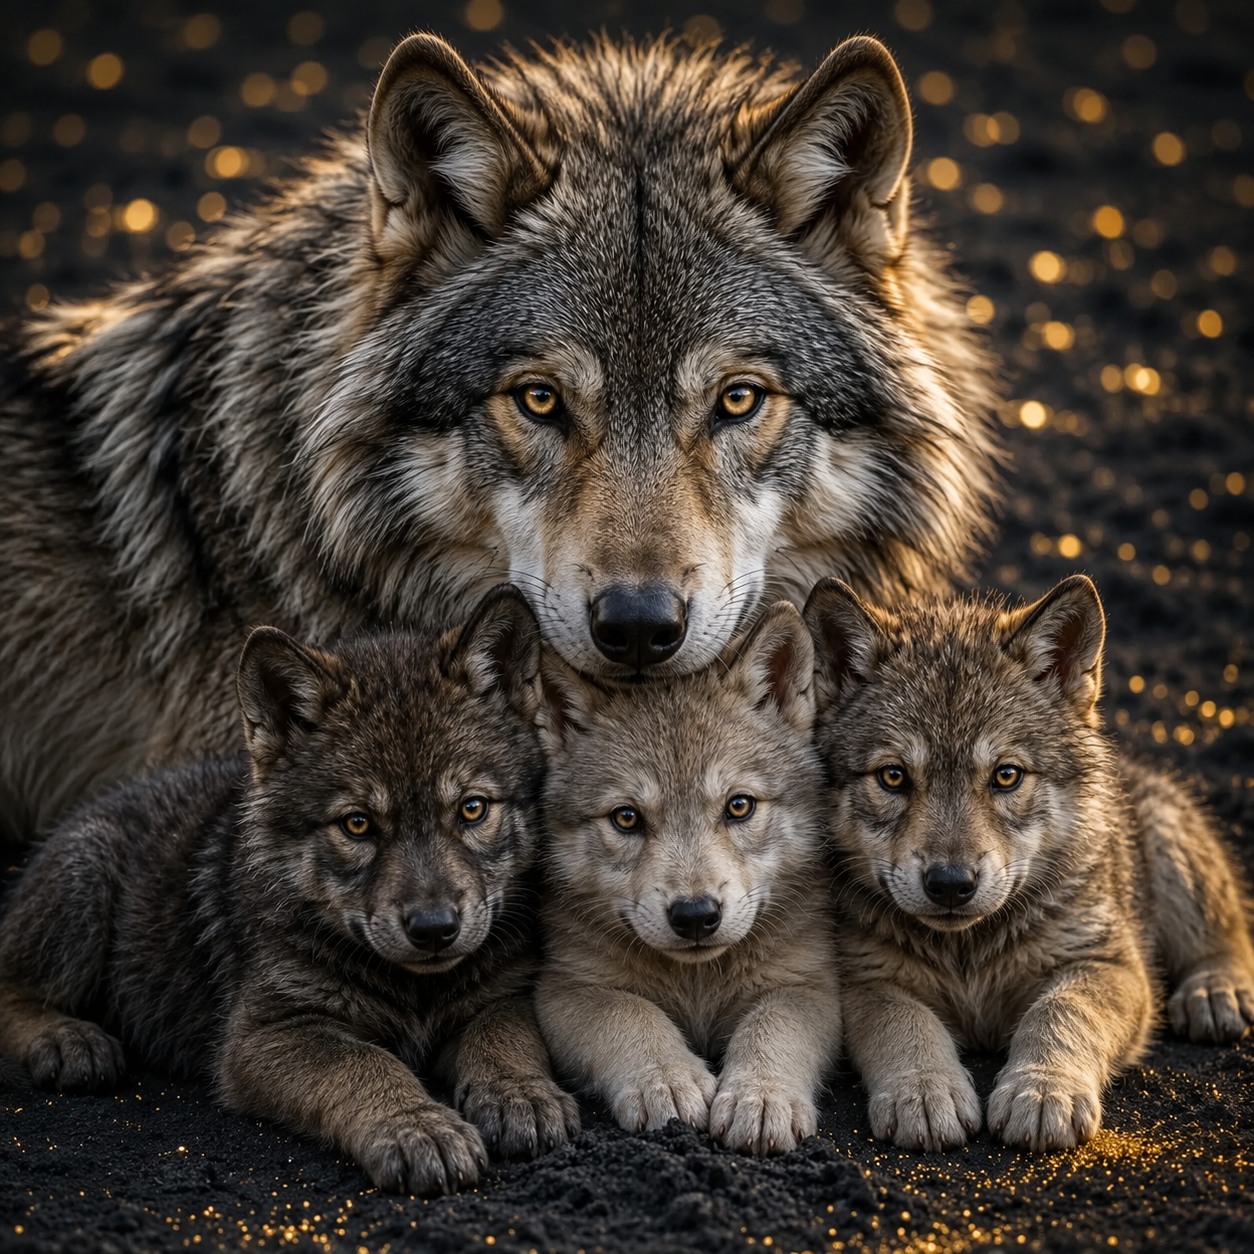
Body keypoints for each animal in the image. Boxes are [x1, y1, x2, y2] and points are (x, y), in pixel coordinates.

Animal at [0, 587, 578, 1194]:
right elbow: (366, 1065)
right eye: (357, 825)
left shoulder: (503, 996)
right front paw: (418, 1127)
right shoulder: (267, 1035)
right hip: (82, 885)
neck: (415, 988)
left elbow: (505, 1037)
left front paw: (519, 1093)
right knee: (10, 989)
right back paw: (67, 1040)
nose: (434, 930)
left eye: (472, 809)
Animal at [533, 602, 841, 1155]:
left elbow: (770, 1026)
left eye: (739, 806)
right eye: (626, 818)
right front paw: (667, 1080)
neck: (696, 982)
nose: (696, 916)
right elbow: (631, 1015)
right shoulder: (566, 987)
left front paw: (760, 1097)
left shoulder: (806, 984)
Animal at [804, 574, 1254, 1152]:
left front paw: (1041, 1091)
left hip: (1172, 848)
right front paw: (923, 1091)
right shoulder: (866, 980)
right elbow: (906, 1024)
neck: (968, 952)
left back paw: (1215, 992)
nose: (950, 884)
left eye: (1007, 775)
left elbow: (1058, 1012)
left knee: (1228, 935)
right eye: (893, 777)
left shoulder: (1109, 965)